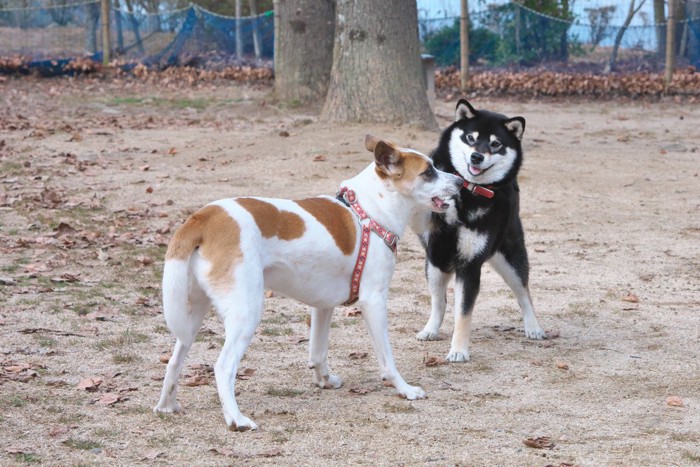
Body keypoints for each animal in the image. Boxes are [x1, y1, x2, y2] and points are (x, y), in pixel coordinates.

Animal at [154, 134, 462, 432]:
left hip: (192, 315)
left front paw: (324, 380)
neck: (370, 210)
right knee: (223, 367)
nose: (460, 182)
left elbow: (318, 350)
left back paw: (167, 405)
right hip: (246, 312)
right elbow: (387, 358)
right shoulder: (373, 301)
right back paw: (236, 419)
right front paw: (404, 388)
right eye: (428, 171)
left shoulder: (322, 306)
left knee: (175, 359)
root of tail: (203, 217)